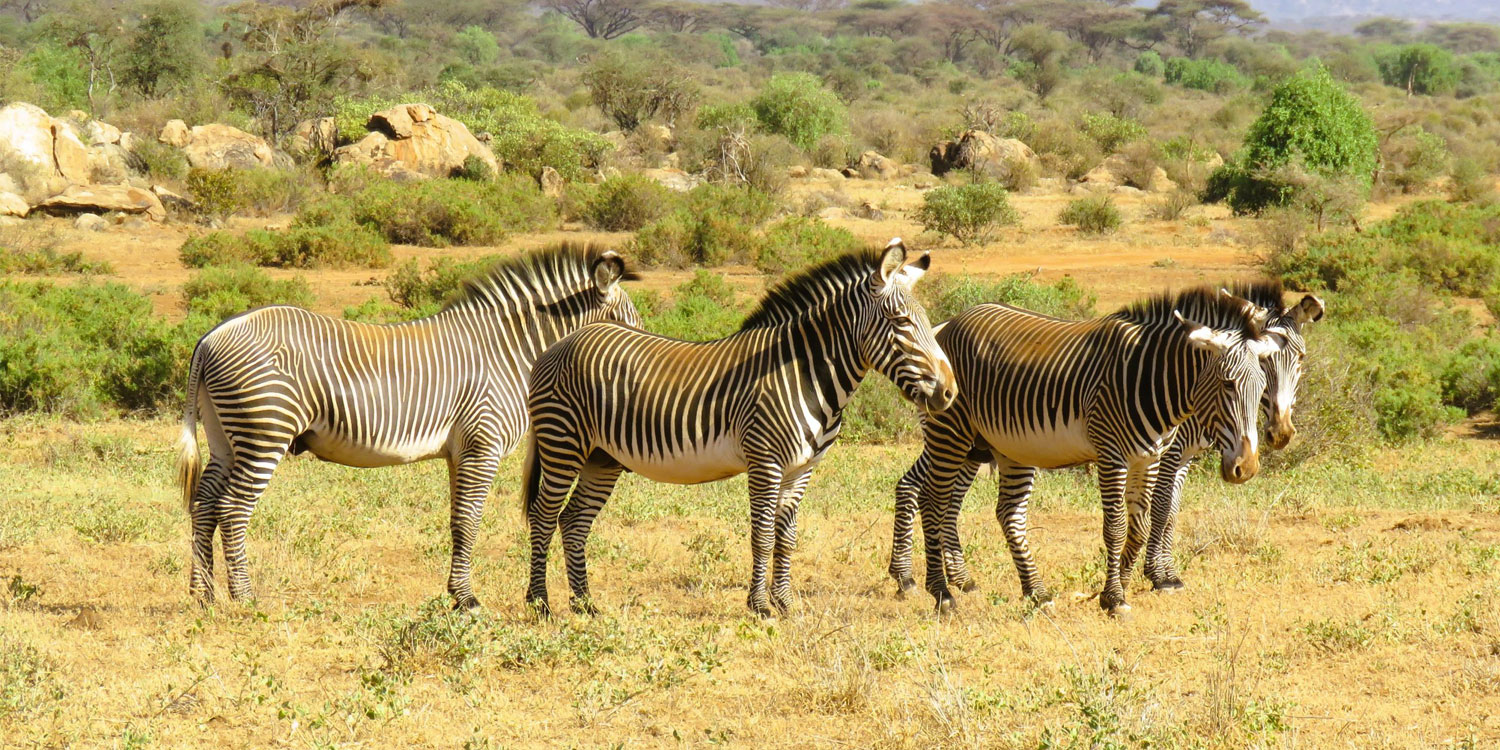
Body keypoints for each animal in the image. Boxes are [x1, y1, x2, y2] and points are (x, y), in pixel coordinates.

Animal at [174, 243, 643, 609]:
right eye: (630, 326)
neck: (509, 352)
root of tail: (211, 336)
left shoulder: (460, 452)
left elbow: (457, 520)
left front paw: (456, 594)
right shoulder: (482, 444)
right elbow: (470, 519)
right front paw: (468, 599)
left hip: (225, 436)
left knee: (204, 503)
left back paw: (203, 595)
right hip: (264, 431)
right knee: (233, 508)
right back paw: (244, 597)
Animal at [520, 240, 957, 617]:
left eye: (926, 321)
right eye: (901, 322)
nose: (949, 392)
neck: (803, 373)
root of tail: (562, 343)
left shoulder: (801, 469)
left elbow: (786, 537)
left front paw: (786, 603)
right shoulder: (765, 461)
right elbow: (762, 535)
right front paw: (760, 606)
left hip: (602, 458)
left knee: (573, 521)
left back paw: (584, 604)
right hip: (562, 442)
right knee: (543, 516)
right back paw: (540, 604)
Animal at [889, 286, 1281, 616]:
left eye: (1262, 385)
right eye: (1227, 384)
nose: (1246, 468)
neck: (1149, 378)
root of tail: (948, 324)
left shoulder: (1149, 458)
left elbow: (1140, 525)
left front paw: (1119, 586)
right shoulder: (1111, 455)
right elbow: (1116, 528)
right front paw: (1116, 598)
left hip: (1005, 446)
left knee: (1007, 514)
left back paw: (1036, 593)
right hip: (950, 432)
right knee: (935, 502)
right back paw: (941, 593)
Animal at [1135, 288, 1325, 591]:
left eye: (1301, 357)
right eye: (1263, 362)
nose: (1281, 433)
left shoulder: (1185, 456)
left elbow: (1173, 509)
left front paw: (1169, 571)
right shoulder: (1169, 451)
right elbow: (1162, 507)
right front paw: (1158, 575)